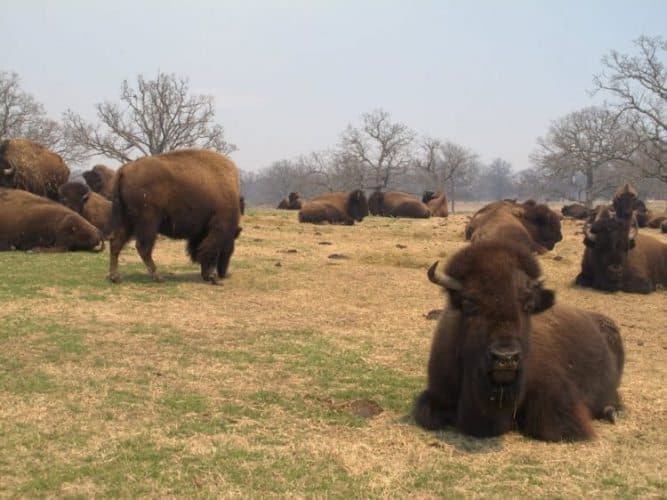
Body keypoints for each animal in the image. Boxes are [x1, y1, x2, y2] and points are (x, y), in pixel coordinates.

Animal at [108, 147, 244, 286]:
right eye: (231, 246)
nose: (223, 273)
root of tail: (124, 171)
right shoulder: (218, 229)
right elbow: (210, 250)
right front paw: (213, 278)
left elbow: (201, 249)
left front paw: (207, 276)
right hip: (148, 223)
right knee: (143, 248)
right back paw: (159, 277)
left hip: (126, 221)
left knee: (116, 243)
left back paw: (115, 277)